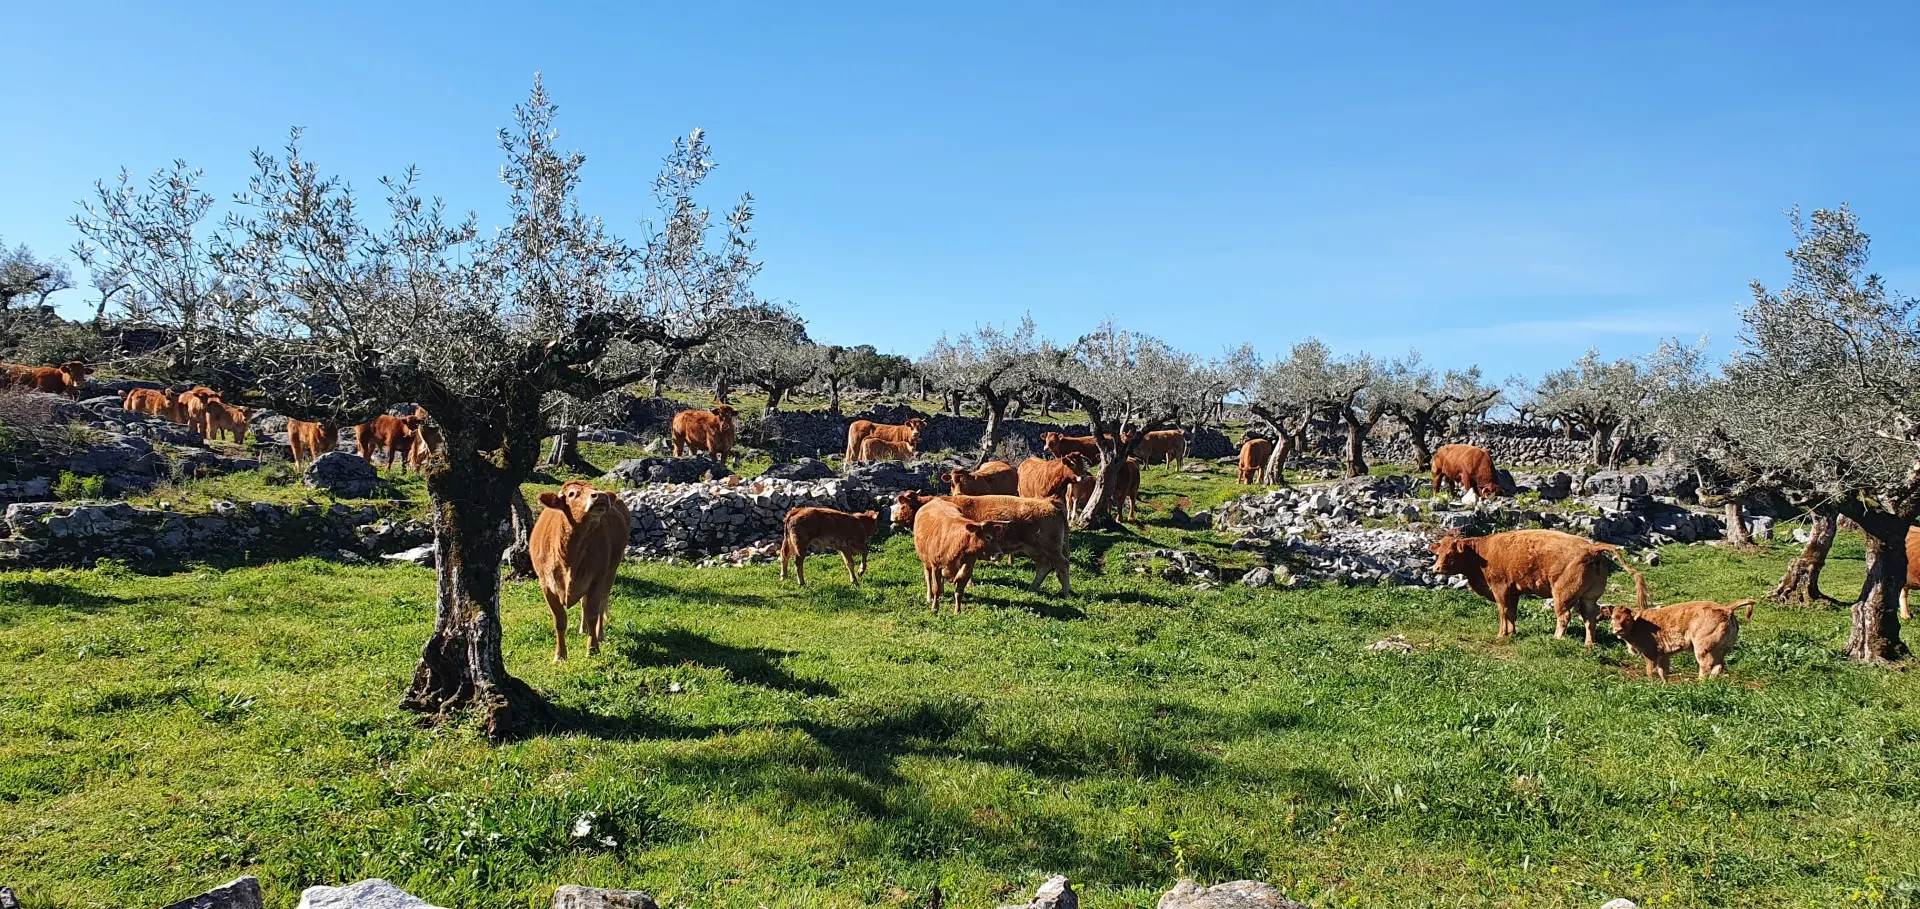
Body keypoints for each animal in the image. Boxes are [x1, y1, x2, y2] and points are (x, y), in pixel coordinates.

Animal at [890, 491, 1075, 591]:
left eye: (902, 504)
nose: (892, 517)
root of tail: (1049, 502)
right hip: (1037, 550)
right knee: (1044, 567)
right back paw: (1032, 588)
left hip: (1050, 548)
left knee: (1063, 565)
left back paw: (1065, 592)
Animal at [1436, 522, 1643, 645]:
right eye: (1438, 553)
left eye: (1450, 554)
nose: (1435, 568)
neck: (1482, 554)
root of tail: (1592, 547)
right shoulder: (1513, 592)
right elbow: (1511, 613)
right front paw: (1512, 632)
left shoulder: (1500, 589)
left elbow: (1503, 612)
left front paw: (1502, 634)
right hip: (1588, 598)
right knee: (1590, 619)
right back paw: (1588, 644)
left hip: (1562, 595)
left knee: (1564, 616)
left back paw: (1556, 638)